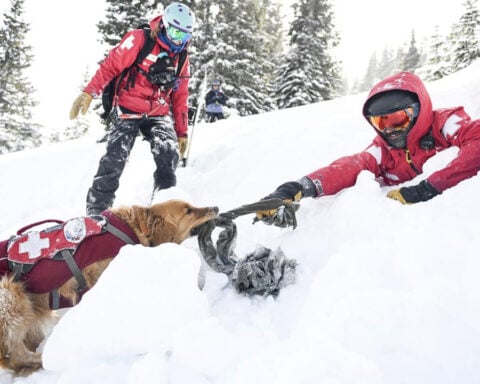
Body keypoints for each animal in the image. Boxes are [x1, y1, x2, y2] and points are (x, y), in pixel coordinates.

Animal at [0, 200, 218, 376]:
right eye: (188, 211)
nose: (215, 208)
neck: (132, 228)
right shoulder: (97, 276)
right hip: (11, 295)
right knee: (15, 355)